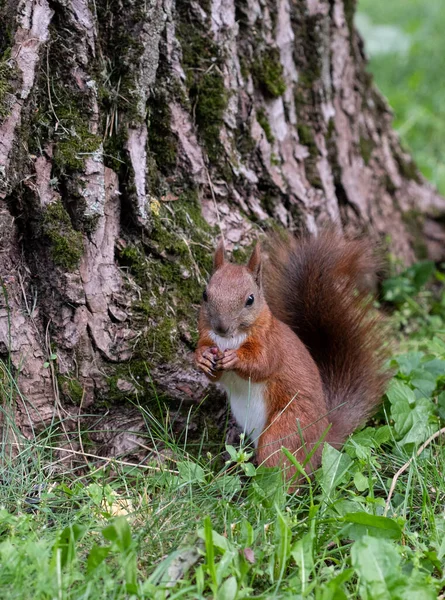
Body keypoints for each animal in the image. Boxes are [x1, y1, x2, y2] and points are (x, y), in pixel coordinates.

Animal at [195, 231, 388, 478]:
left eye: (250, 299)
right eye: (205, 294)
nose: (221, 327)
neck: (229, 340)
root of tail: (321, 441)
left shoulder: (272, 344)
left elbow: (263, 364)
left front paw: (236, 358)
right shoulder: (208, 340)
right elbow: (212, 372)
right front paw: (201, 358)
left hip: (286, 432)